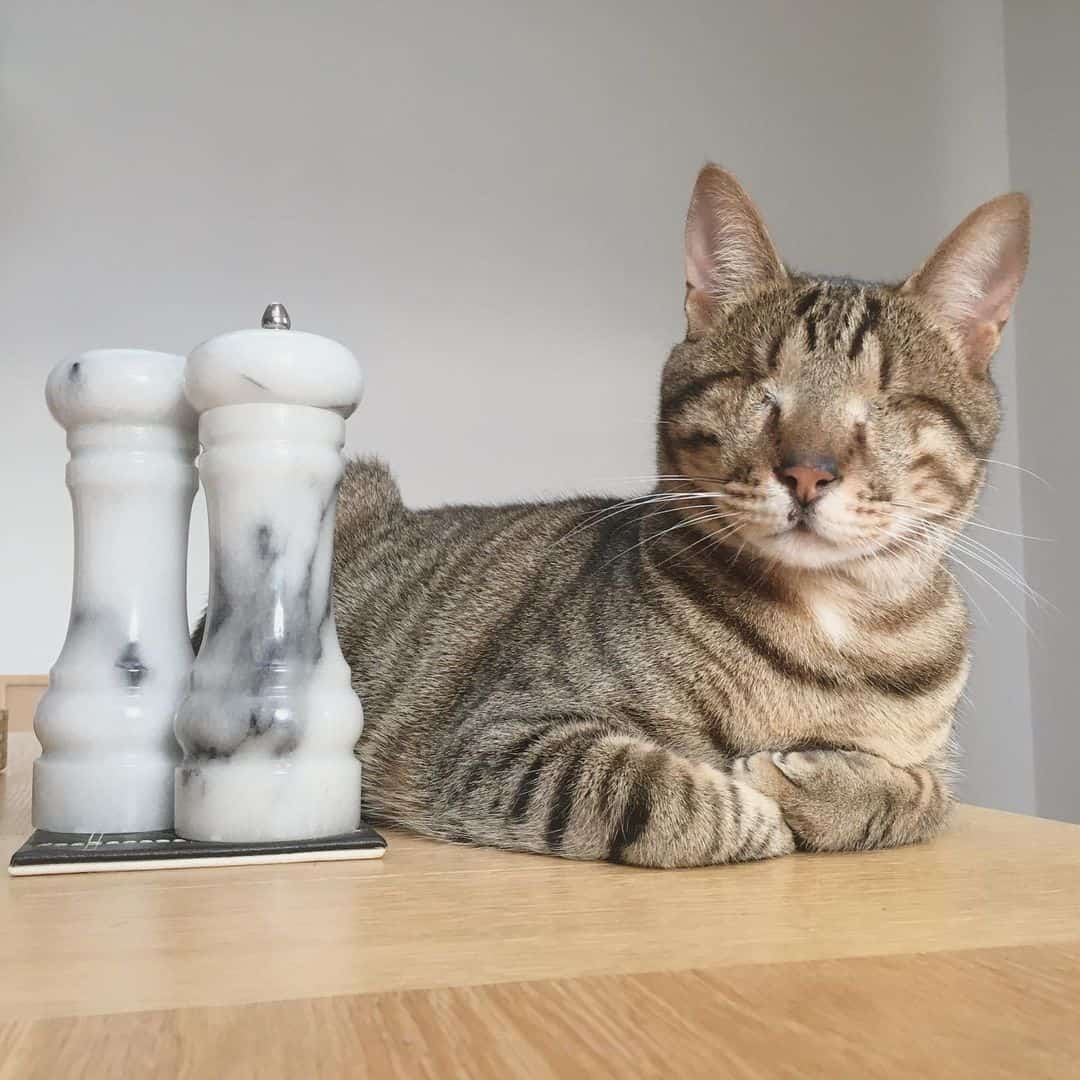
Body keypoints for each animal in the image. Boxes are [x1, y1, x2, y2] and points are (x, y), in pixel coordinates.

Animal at [324, 162, 1023, 868]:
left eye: (888, 400)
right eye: (757, 387)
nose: (808, 471)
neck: (829, 632)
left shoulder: (937, 769)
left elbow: (920, 797)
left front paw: (811, 780)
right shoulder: (500, 739)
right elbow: (654, 787)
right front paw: (760, 799)